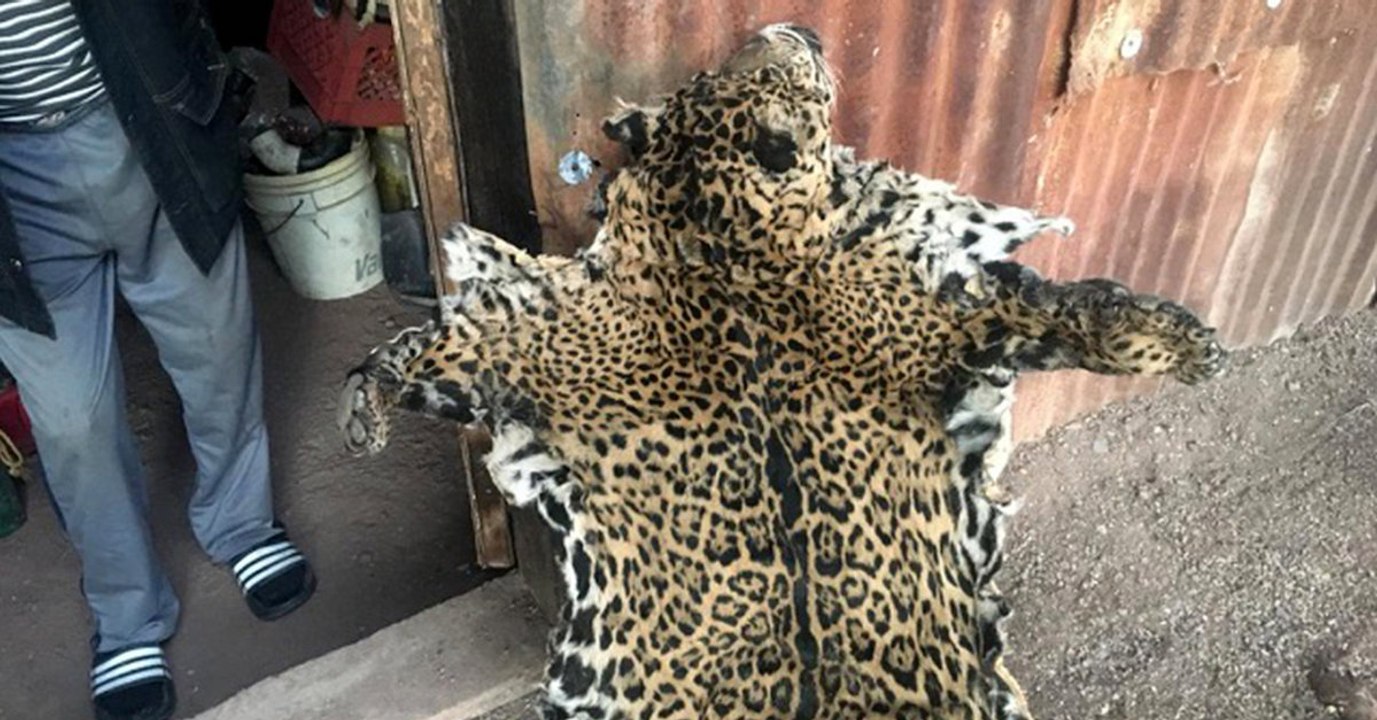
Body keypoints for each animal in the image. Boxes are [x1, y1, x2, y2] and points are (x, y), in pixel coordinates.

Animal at [338, 23, 1225, 719]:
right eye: (774, 72)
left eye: (723, 71)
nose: (790, 27)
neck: (728, 243)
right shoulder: (543, 334)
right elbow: (436, 349)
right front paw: (361, 414)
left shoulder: (943, 310)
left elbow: (1069, 310)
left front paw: (1184, 343)